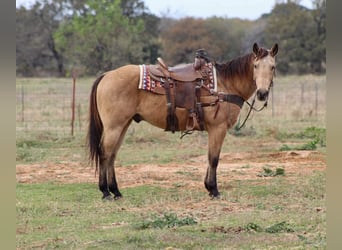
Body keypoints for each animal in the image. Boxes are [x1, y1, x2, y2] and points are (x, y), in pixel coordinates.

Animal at [87, 42, 276, 200]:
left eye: (273, 67)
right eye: (256, 66)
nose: (262, 93)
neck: (226, 85)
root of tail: (107, 75)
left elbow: (210, 157)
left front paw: (208, 187)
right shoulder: (218, 128)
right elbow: (214, 158)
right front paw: (214, 190)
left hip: (123, 125)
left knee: (112, 155)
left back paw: (116, 191)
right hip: (114, 127)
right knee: (105, 153)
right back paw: (105, 192)